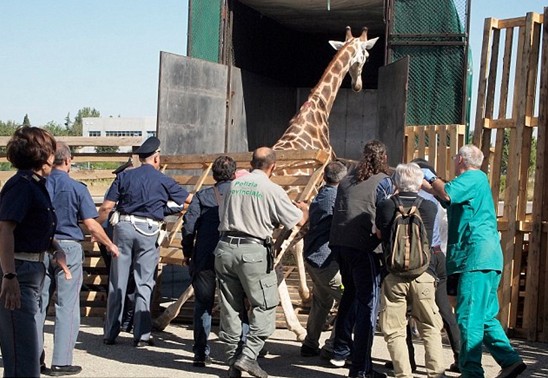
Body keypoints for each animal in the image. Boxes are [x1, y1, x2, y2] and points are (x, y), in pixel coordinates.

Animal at [270, 25, 376, 340]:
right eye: (366, 55)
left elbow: (304, 249)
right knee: (274, 267)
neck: (313, 117)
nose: (358, 85)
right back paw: (296, 328)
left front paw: (307, 297)